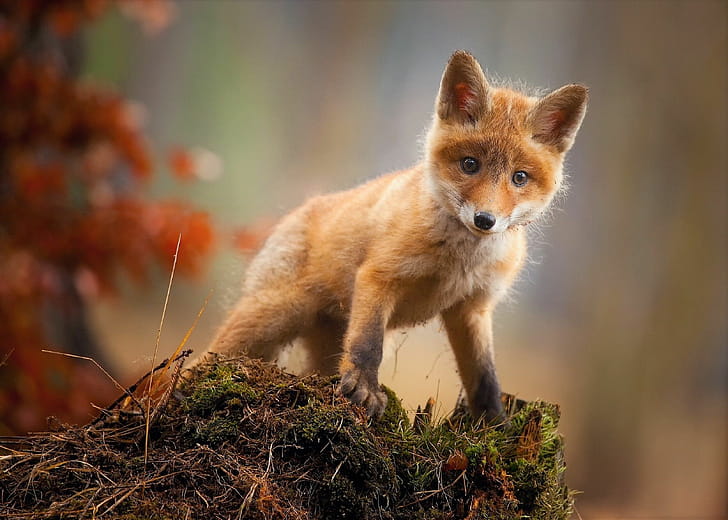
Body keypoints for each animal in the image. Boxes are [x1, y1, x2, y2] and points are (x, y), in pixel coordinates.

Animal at [203, 51, 587, 422]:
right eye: (470, 164)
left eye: (519, 177)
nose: (485, 219)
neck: (458, 262)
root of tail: (298, 211)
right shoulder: (379, 277)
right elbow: (368, 344)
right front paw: (364, 389)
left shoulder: (472, 309)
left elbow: (485, 378)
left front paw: (494, 426)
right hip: (270, 317)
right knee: (205, 359)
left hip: (322, 343)